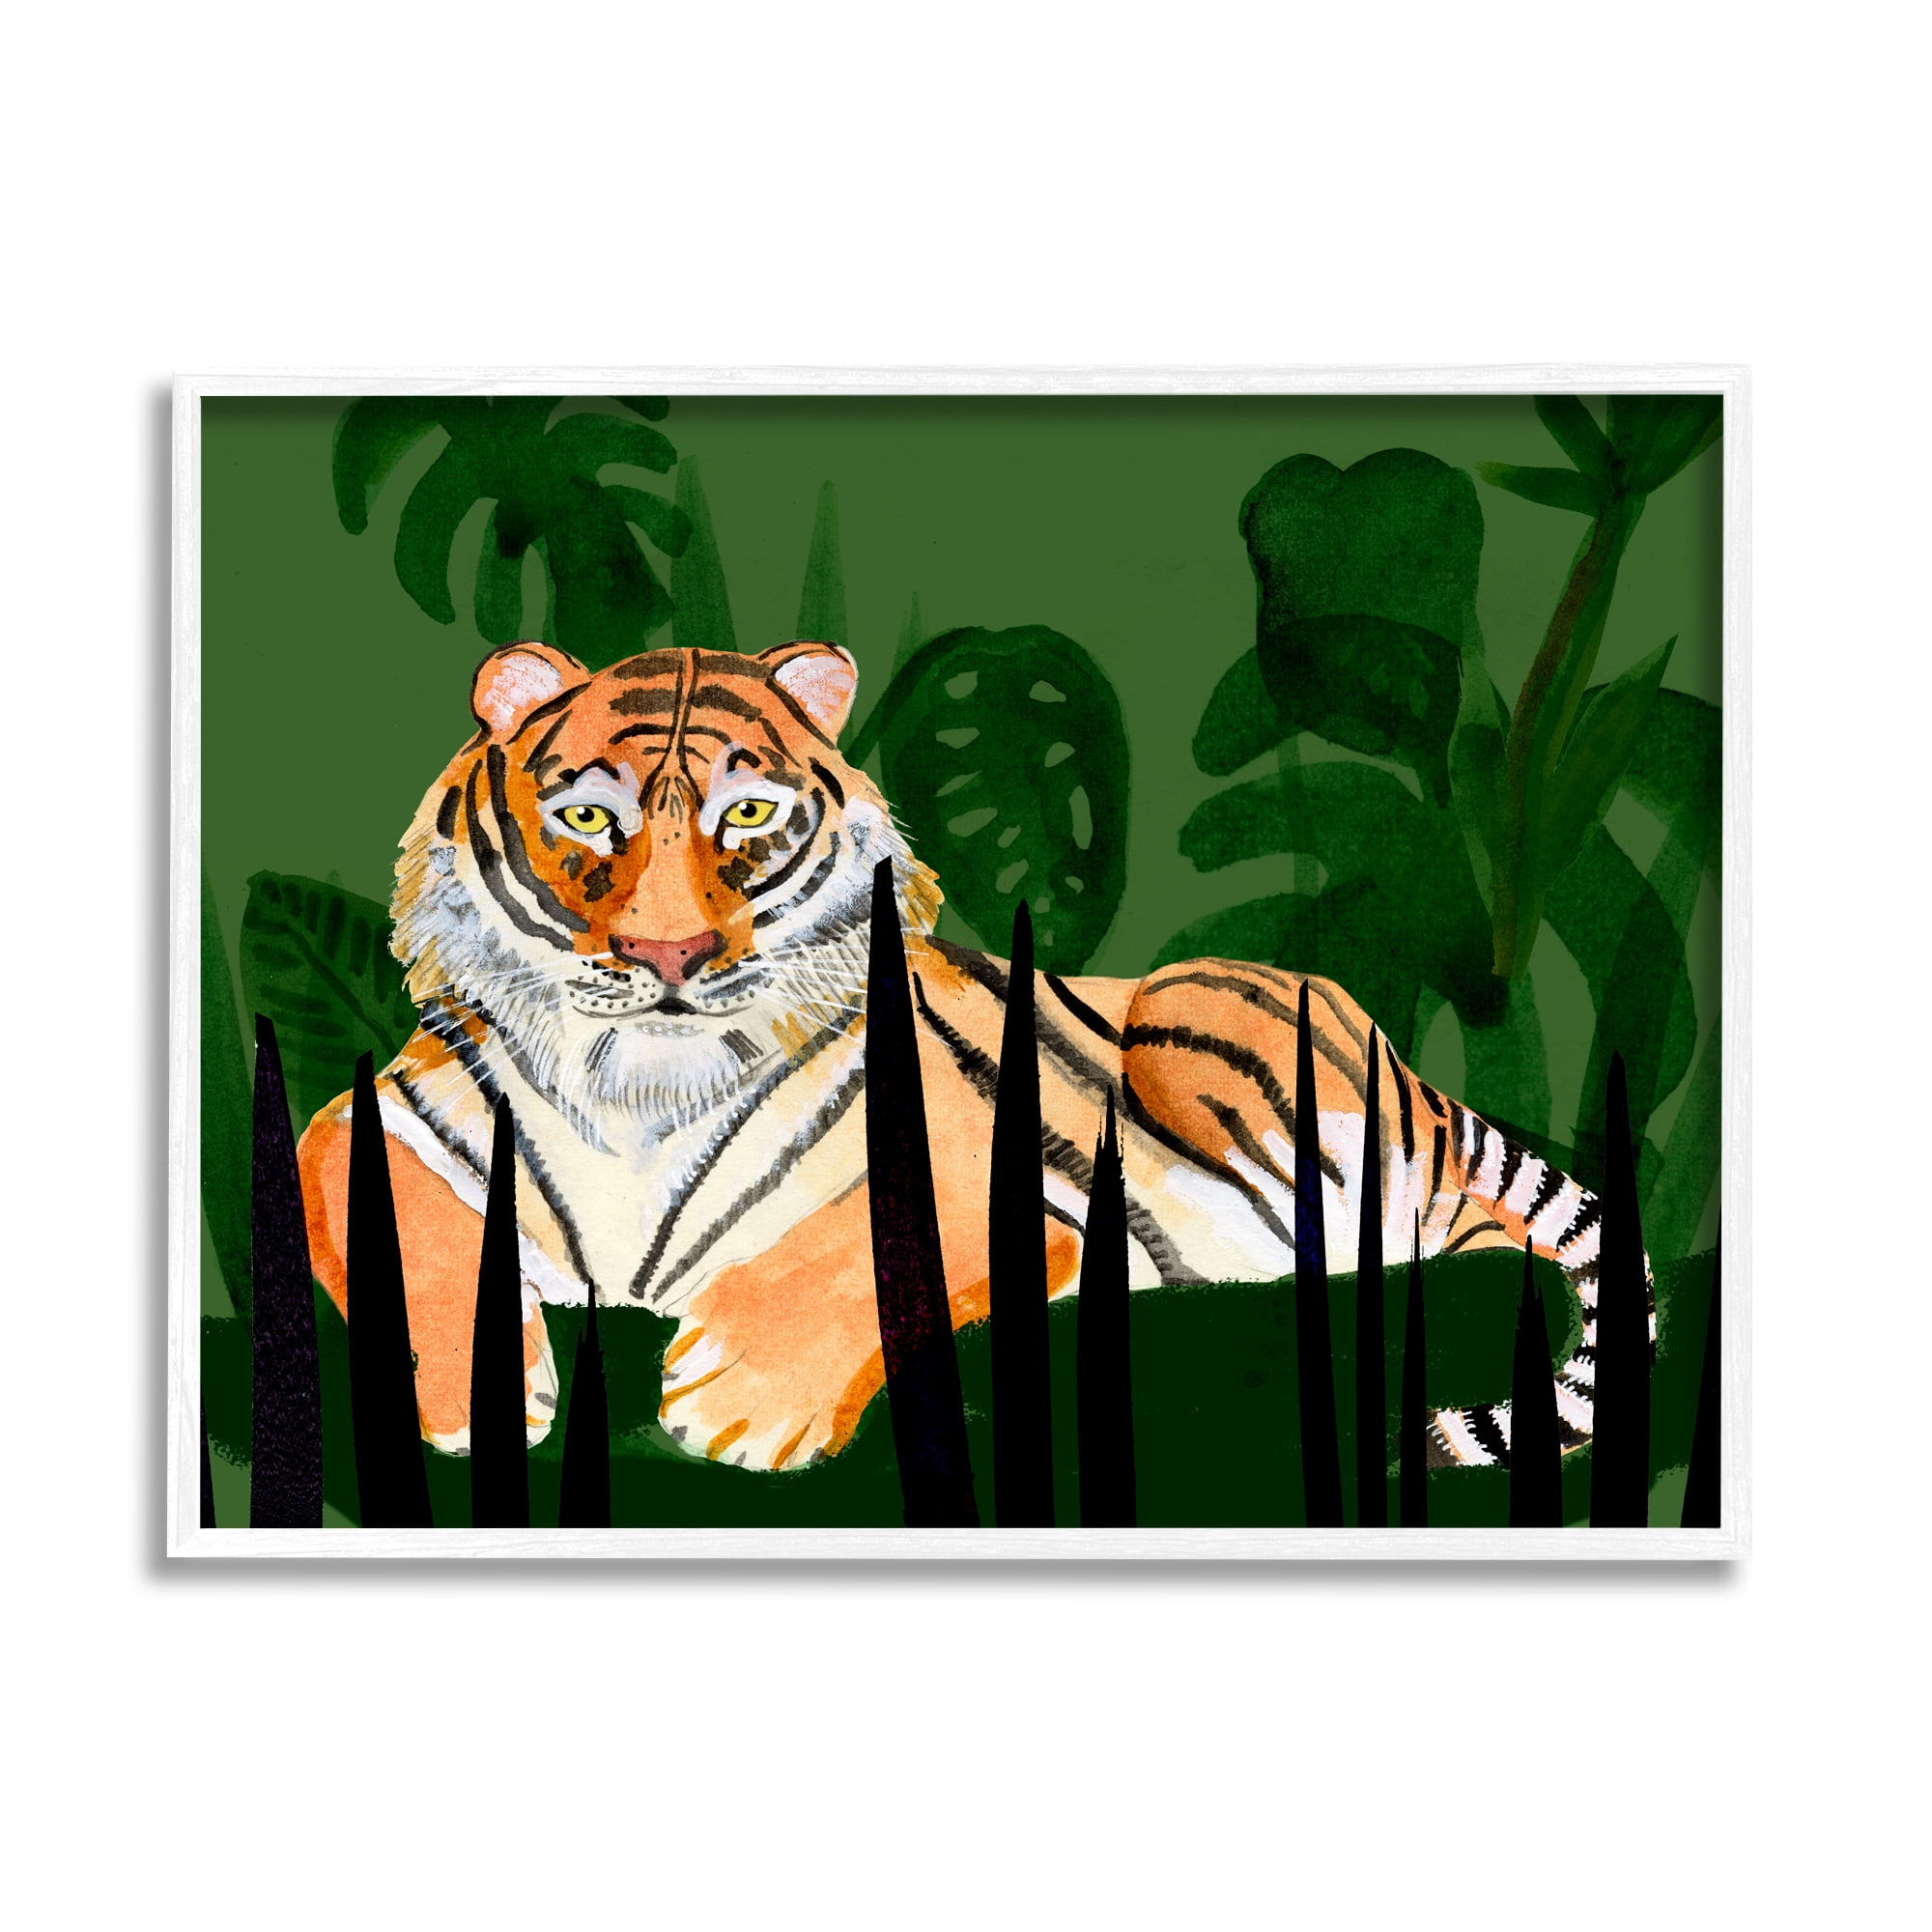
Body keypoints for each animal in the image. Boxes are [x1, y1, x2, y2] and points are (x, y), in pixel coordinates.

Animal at [297, 638, 1625, 1478]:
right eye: (586, 816)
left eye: (746, 814)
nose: (668, 953)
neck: (639, 1089)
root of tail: (1416, 1072)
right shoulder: (368, 1118)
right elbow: (397, 1222)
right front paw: (474, 1392)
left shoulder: (1009, 1187)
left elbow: (863, 1253)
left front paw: (735, 1396)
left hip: (1200, 1030)